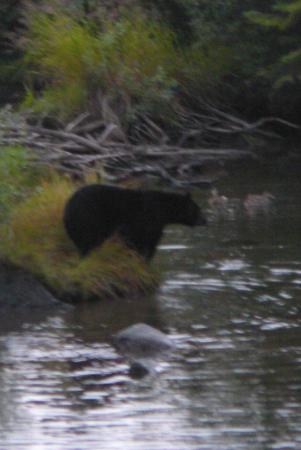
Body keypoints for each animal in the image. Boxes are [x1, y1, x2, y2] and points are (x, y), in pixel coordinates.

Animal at [62, 183, 205, 258]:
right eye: (198, 210)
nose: (206, 220)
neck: (163, 209)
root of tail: (68, 208)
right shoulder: (149, 220)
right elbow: (145, 241)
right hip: (90, 217)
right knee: (90, 240)